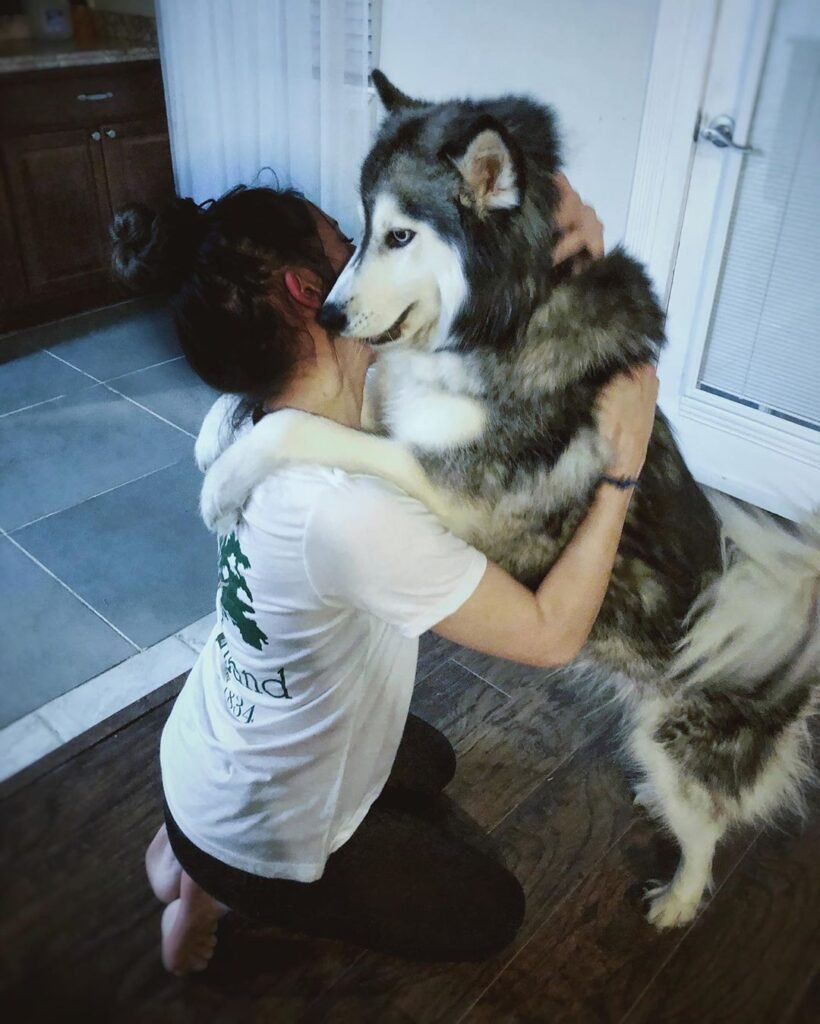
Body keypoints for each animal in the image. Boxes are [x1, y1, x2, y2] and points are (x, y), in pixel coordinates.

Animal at [198, 74, 818, 929]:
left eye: (399, 236)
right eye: (358, 230)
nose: (327, 315)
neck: (504, 319)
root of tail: (793, 662)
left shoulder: (455, 490)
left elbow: (302, 425)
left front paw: (223, 482)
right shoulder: (394, 420)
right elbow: (338, 406)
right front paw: (218, 442)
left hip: (676, 743)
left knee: (708, 829)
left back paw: (679, 898)